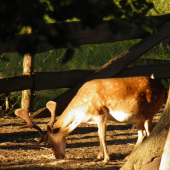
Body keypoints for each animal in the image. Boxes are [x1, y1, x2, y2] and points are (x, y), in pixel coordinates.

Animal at [14, 76, 166, 162]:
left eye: (49, 144)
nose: (58, 157)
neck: (82, 112)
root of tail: (165, 88)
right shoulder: (93, 119)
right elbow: (98, 135)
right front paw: (98, 156)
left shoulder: (101, 114)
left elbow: (103, 136)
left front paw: (106, 159)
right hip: (139, 118)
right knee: (142, 133)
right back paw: (128, 157)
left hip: (149, 111)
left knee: (149, 132)